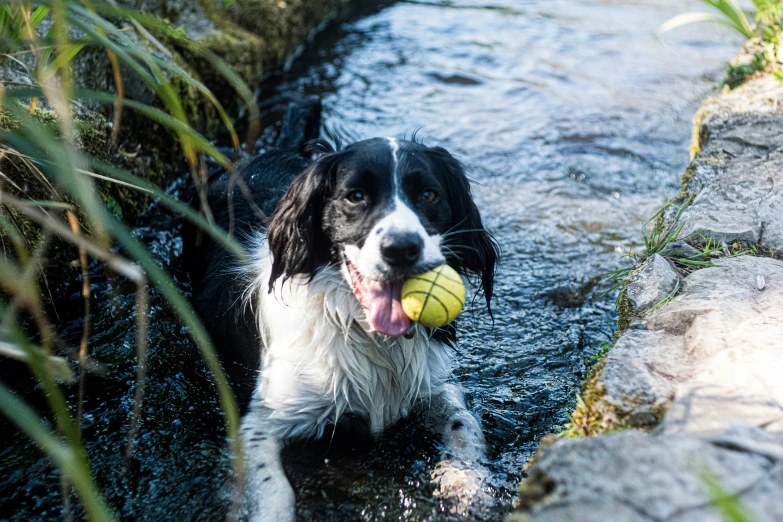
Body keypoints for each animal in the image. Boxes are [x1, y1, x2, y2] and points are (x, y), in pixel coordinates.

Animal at [187, 99, 500, 516]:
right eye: (356, 196)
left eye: (429, 195)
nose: (401, 248)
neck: (366, 331)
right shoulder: (261, 422)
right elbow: (275, 490)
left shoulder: (433, 382)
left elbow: (463, 425)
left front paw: (469, 486)